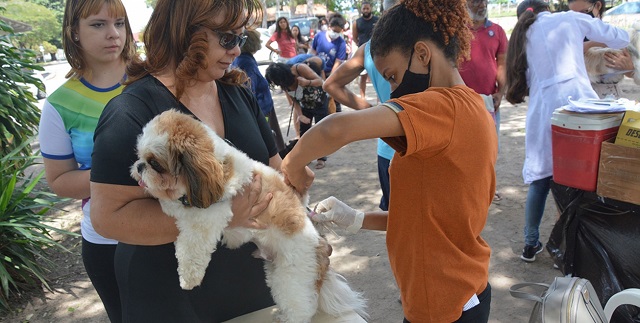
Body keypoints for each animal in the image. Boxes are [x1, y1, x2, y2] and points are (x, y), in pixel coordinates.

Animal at [129, 110, 368, 322]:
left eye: (155, 163)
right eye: (139, 156)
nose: (139, 166)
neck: (218, 165)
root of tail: (318, 246)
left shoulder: (210, 215)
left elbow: (192, 248)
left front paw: (189, 277)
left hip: (292, 277)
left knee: (301, 309)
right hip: (275, 272)